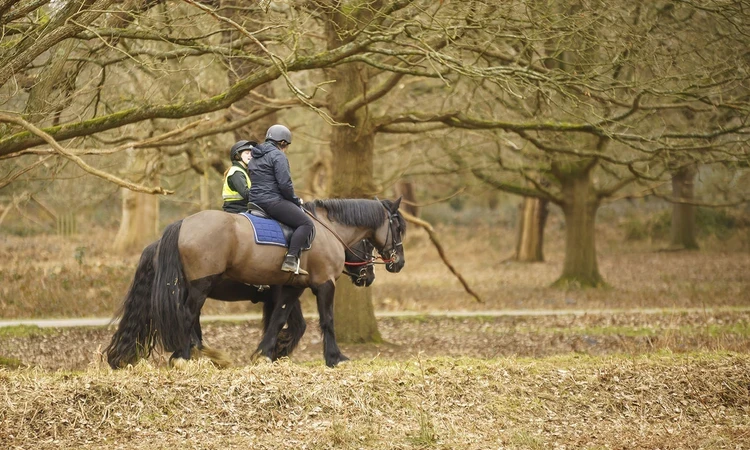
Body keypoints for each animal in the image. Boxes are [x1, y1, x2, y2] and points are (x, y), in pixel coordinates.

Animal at [104, 237, 377, 369]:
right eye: (367, 244)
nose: (369, 277)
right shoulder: (282, 294)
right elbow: (293, 325)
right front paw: (276, 351)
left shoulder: (281, 296)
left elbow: (285, 324)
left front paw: (273, 351)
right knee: (189, 321)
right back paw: (204, 355)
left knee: (191, 323)